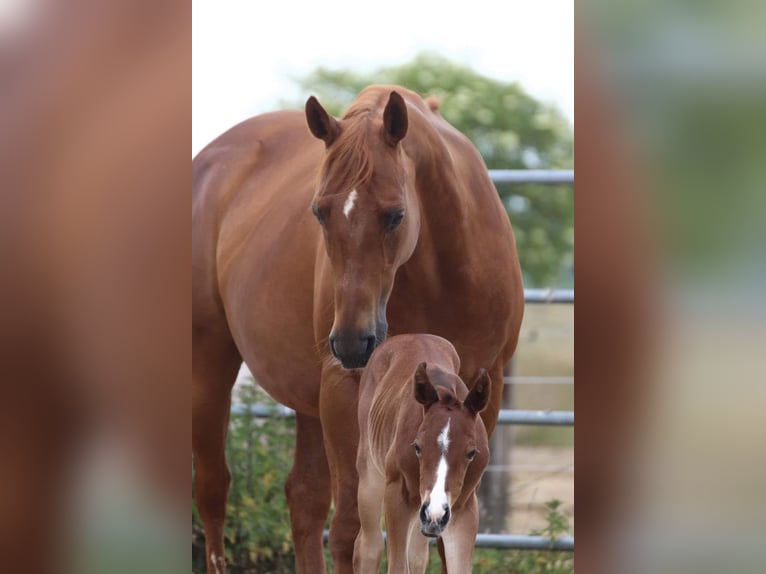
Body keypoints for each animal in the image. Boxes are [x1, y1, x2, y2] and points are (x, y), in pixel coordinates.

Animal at [356, 336, 492, 572]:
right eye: (417, 447)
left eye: (471, 452)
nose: (435, 513)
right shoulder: (397, 495)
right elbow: (395, 566)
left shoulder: (463, 509)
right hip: (371, 480)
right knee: (369, 547)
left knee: (416, 556)